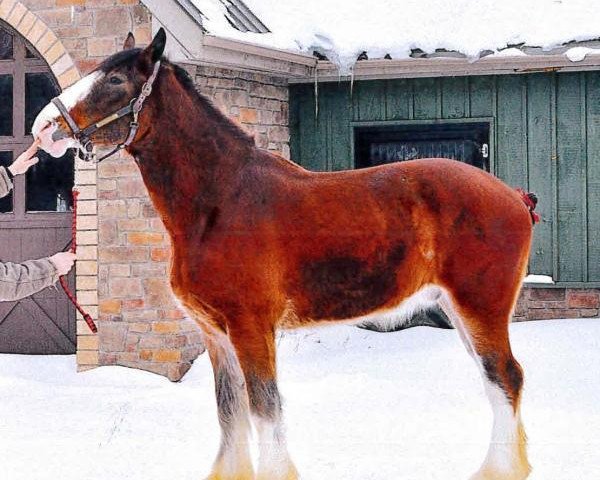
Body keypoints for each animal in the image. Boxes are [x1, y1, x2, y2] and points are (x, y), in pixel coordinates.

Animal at [32, 30, 536, 480]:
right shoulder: (215, 334)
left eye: (116, 80)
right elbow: (230, 413)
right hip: (458, 310)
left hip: (480, 308)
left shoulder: (251, 327)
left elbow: (264, 408)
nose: (43, 128)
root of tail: (514, 196)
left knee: (506, 378)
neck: (220, 200)